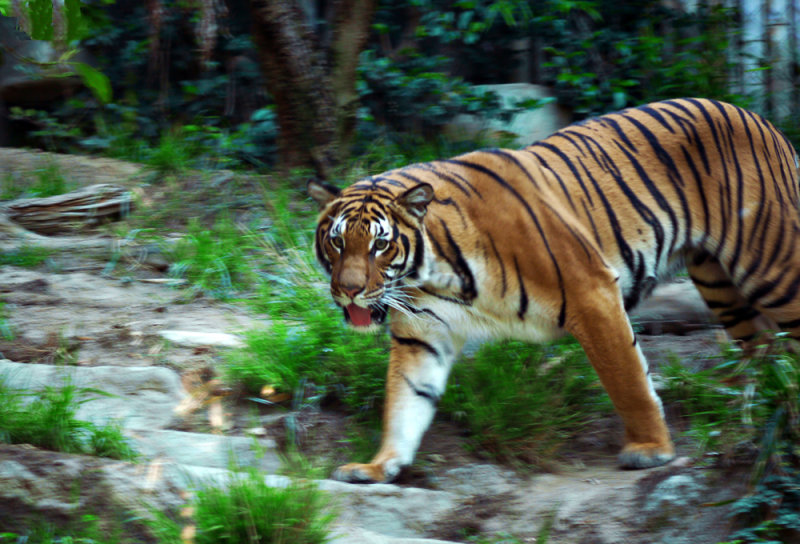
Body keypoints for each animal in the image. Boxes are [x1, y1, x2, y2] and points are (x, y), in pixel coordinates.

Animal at [310, 99, 800, 484]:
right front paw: (378, 467)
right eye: (337, 242)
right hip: (719, 281)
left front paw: (650, 450)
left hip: (771, 266)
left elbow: (628, 381)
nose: (349, 291)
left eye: (380, 244)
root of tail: (763, 120)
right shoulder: (421, 336)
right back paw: (759, 410)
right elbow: (404, 403)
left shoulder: (593, 292)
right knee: (763, 344)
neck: (431, 274)